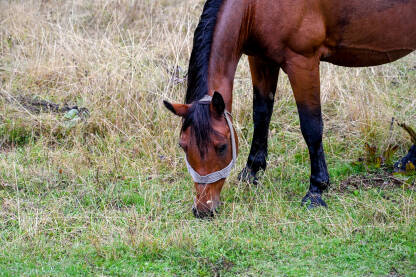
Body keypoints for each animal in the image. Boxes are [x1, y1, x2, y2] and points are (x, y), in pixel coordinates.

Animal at [163, 0, 416, 217]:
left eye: (222, 146)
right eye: (183, 146)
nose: (203, 209)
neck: (256, 6)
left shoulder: (303, 63)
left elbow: (311, 127)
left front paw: (316, 190)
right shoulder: (261, 59)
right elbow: (261, 114)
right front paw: (252, 171)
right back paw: (406, 163)